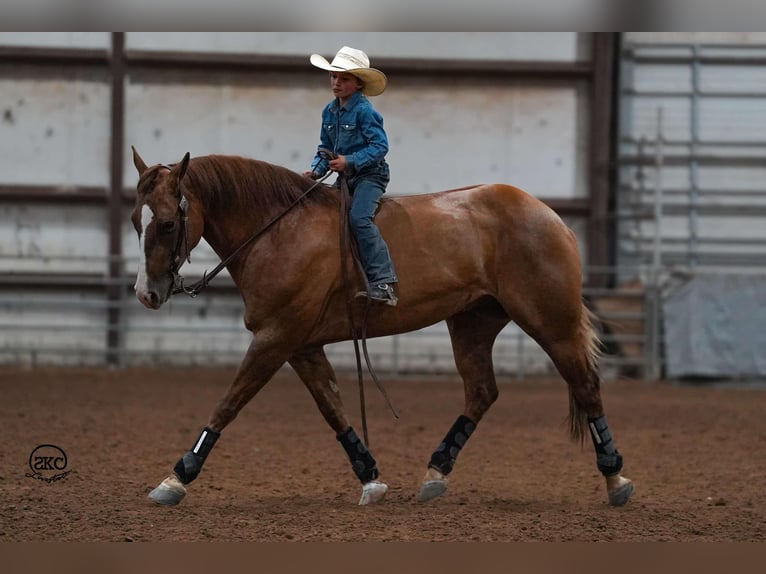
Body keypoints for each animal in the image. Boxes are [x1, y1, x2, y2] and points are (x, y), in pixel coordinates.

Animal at [130, 147, 636, 508]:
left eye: (169, 222)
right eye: (137, 220)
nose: (146, 294)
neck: (278, 232)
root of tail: (546, 214)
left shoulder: (275, 338)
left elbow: (228, 404)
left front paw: (177, 477)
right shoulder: (301, 346)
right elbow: (333, 408)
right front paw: (369, 477)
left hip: (552, 322)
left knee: (586, 386)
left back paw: (615, 478)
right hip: (472, 325)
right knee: (482, 392)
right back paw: (436, 472)